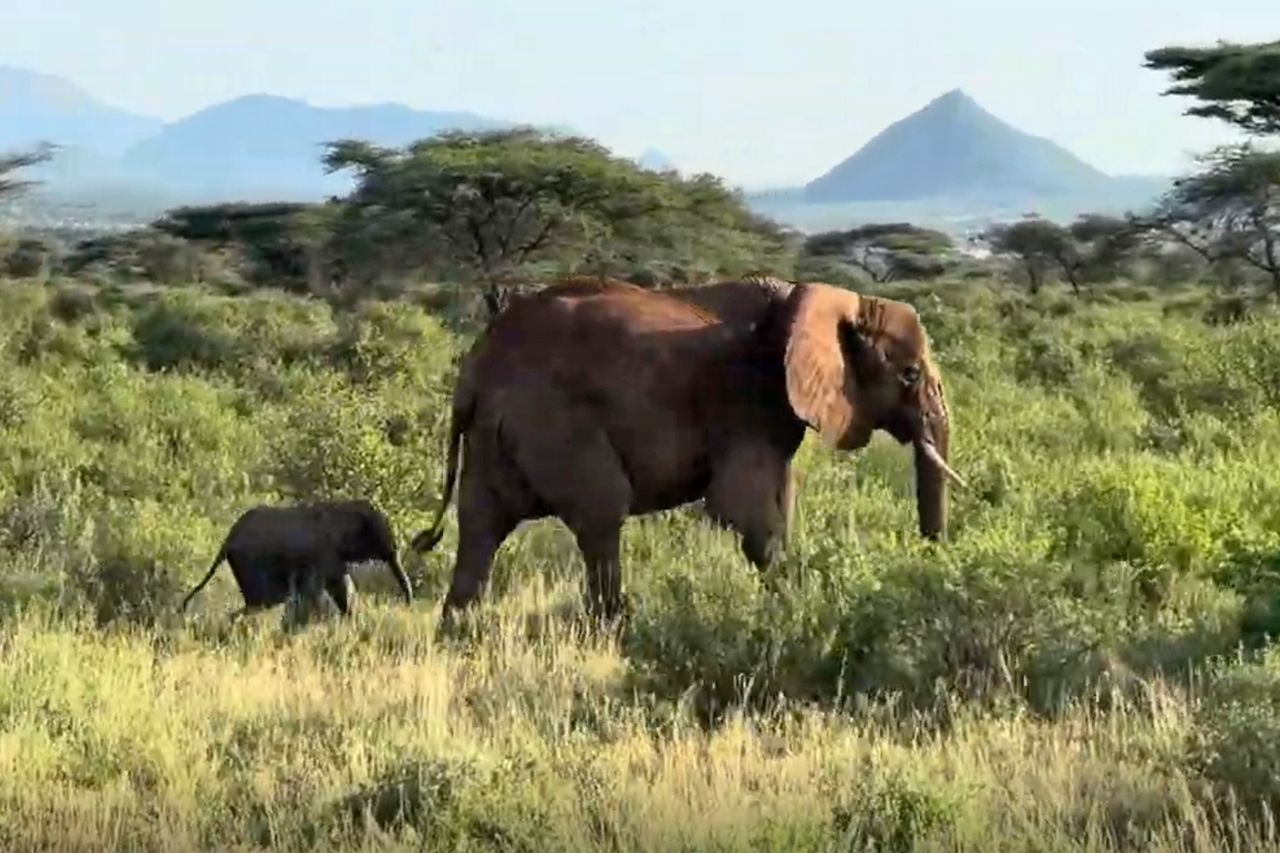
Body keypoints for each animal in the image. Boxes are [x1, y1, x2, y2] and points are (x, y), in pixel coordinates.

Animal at [179, 499, 413, 618]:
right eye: (377, 535)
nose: (408, 607)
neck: (343, 506)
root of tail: (227, 540)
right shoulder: (325, 551)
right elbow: (334, 586)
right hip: (250, 562)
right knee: (265, 601)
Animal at [410, 276, 964, 624]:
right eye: (909, 374)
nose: (929, 565)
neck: (817, 298)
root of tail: (475, 365)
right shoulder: (746, 399)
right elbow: (746, 513)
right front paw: (795, 609)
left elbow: (778, 502)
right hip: (554, 421)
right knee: (600, 515)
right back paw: (616, 631)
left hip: (496, 433)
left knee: (480, 527)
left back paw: (457, 638)